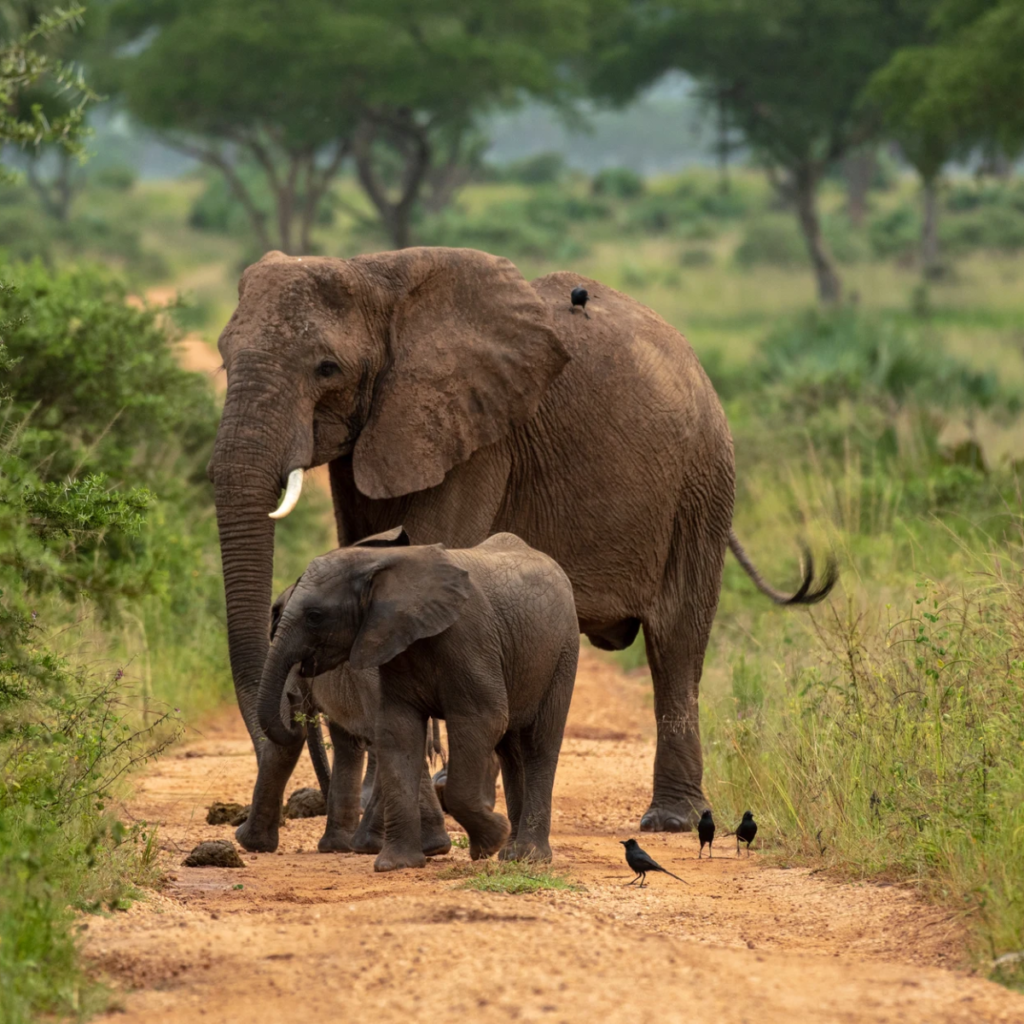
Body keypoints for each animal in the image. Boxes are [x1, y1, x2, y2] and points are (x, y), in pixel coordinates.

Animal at [258, 529, 579, 871]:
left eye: (315, 616)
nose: (294, 695)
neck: (381, 564)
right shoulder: (391, 643)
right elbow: (397, 730)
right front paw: (396, 864)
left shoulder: (470, 637)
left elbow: (484, 718)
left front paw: (489, 841)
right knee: (511, 751)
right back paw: (511, 854)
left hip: (563, 653)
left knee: (538, 744)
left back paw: (529, 856)